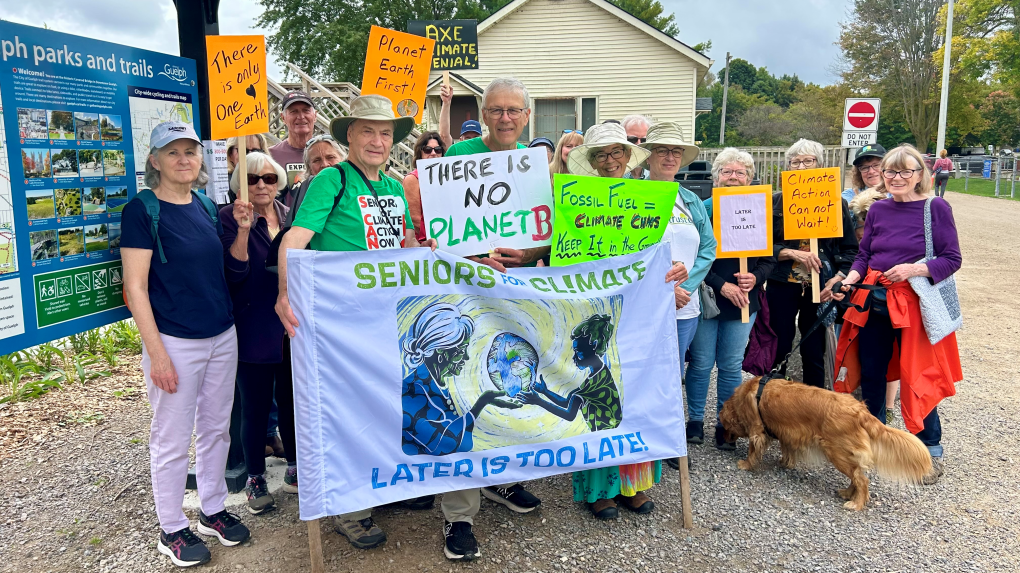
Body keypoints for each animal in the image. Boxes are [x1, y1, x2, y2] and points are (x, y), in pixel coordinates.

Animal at [718, 377, 934, 505]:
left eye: (725, 427)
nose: (724, 441)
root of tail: (860, 411)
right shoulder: (787, 432)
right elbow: (787, 448)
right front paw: (785, 462)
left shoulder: (757, 430)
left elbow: (753, 449)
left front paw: (746, 464)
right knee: (857, 476)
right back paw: (847, 493)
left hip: (837, 453)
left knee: (861, 480)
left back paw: (856, 504)